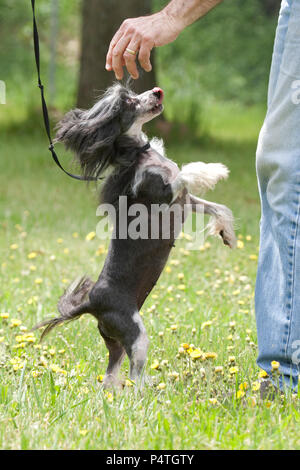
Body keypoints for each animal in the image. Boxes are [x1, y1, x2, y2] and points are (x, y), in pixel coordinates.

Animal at [33, 83, 237, 390]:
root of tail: (92, 302)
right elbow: (185, 173)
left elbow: (218, 207)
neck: (141, 154)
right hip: (136, 335)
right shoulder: (164, 193)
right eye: (128, 102)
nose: (157, 90)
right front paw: (212, 169)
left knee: (110, 374)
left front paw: (227, 232)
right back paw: (146, 393)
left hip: (116, 341)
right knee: (134, 377)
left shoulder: (185, 201)